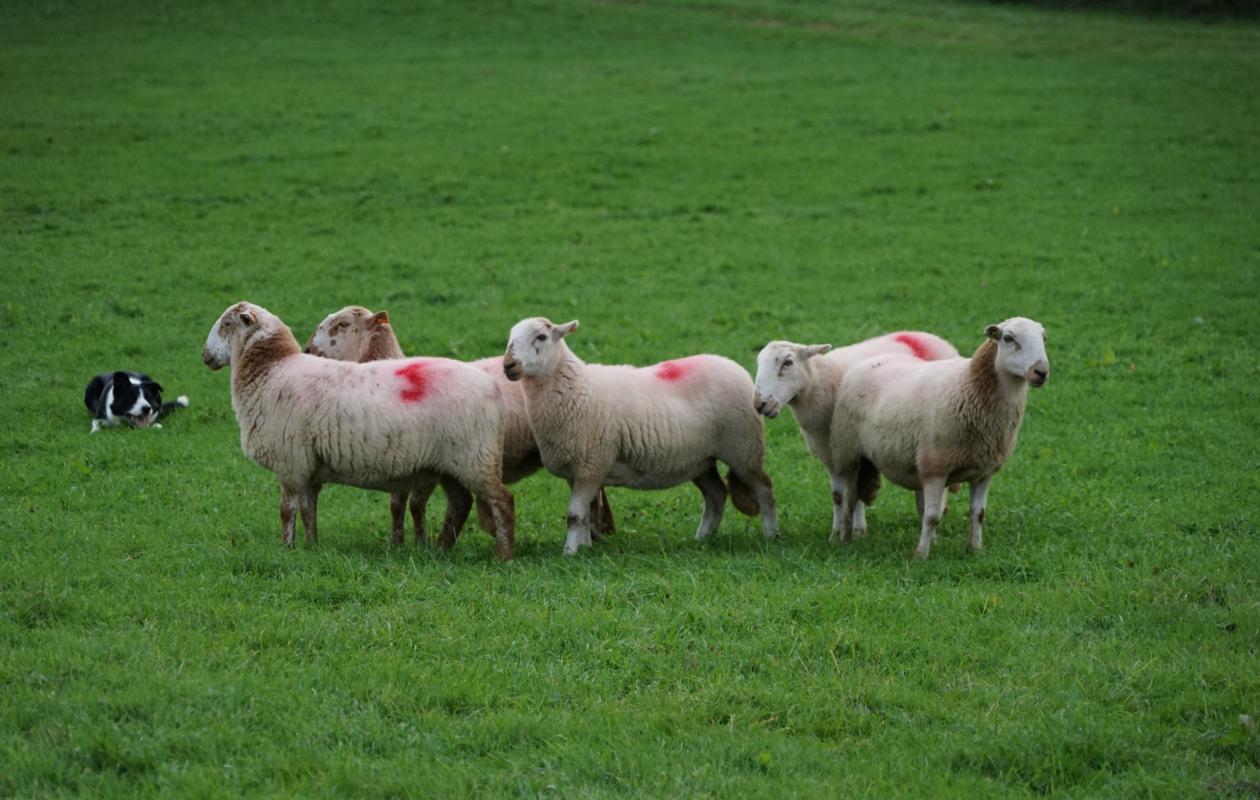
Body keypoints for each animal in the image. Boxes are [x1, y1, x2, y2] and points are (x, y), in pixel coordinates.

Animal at [202, 301, 517, 560]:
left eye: (227, 324)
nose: (204, 355)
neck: (272, 370)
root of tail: (494, 388)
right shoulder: (308, 466)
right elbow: (308, 510)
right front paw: (311, 546)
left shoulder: (290, 462)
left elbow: (286, 511)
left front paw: (287, 549)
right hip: (451, 464)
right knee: (460, 504)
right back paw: (440, 549)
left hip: (475, 458)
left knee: (502, 500)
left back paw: (504, 555)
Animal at [302, 305, 616, 545]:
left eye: (342, 324)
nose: (307, 349)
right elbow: (397, 505)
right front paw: (399, 542)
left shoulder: (423, 463)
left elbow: (413, 505)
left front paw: (416, 543)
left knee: (593, 490)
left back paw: (597, 532)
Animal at [502, 317, 777, 555]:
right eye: (510, 337)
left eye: (541, 336)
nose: (508, 365)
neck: (575, 386)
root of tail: (734, 366)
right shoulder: (577, 470)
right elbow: (586, 515)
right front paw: (585, 548)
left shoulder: (592, 465)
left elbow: (575, 515)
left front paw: (570, 552)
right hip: (701, 460)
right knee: (716, 495)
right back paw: (703, 538)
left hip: (743, 450)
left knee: (763, 489)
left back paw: (770, 534)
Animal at [753, 331, 959, 539]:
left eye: (787, 363)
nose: (760, 404)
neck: (821, 383)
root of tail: (923, 335)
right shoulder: (831, 453)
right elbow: (838, 496)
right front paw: (837, 533)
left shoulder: (851, 448)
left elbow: (856, 493)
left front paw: (858, 530)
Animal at [829, 317, 1049, 559]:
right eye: (1008, 338)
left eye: (1044, 338)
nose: (1041, 372)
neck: (968, 388)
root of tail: (871, 360)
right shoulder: (935, 467)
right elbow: (931, 516)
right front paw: (921, 555)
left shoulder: (984, 473)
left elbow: (978, 514)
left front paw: (975, 550)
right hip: (848, 453)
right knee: (848, 499)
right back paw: (845, 539)